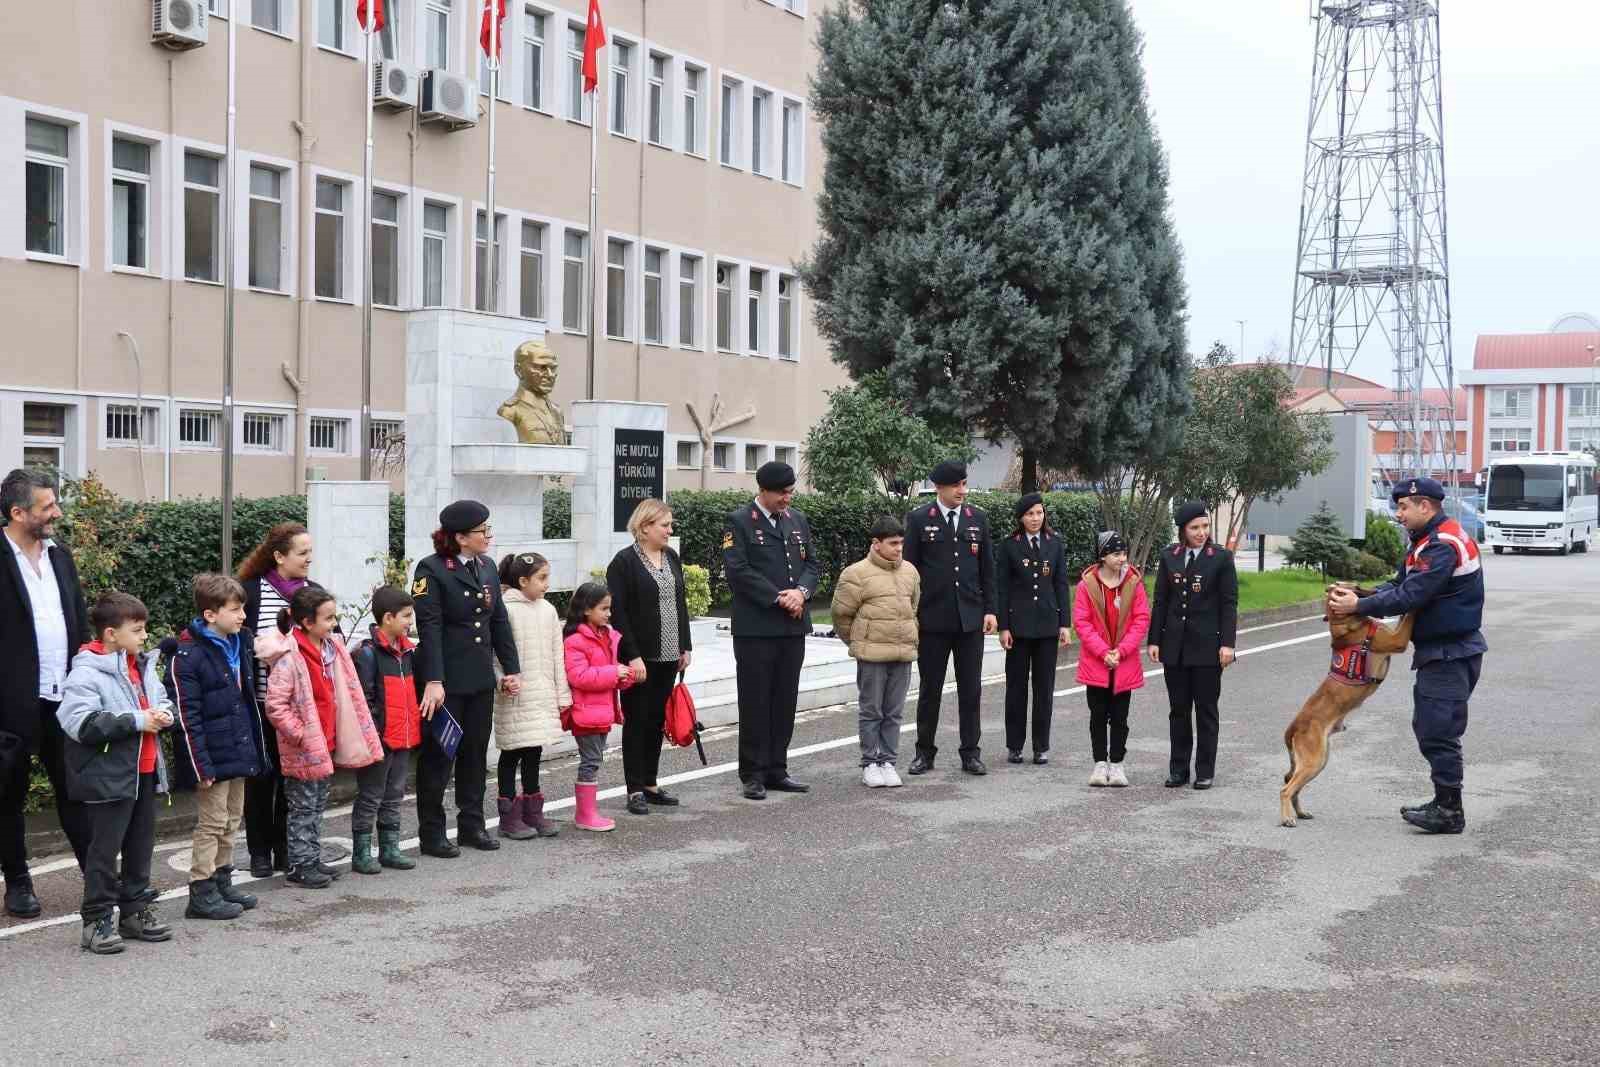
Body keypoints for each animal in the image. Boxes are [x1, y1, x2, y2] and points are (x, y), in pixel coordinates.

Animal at [1280, 588, 1420, 831]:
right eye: (1353, 587)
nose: (1375, 590)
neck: (1344, 622)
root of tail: (1293, 727)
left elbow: (1403, 616)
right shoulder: (1398, 640)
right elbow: (1409, 615)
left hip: (1318, 761)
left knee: (1292, 783)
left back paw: (1300, 812)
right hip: (1313, 761)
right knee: (1286, 789)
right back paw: (1287, 818)